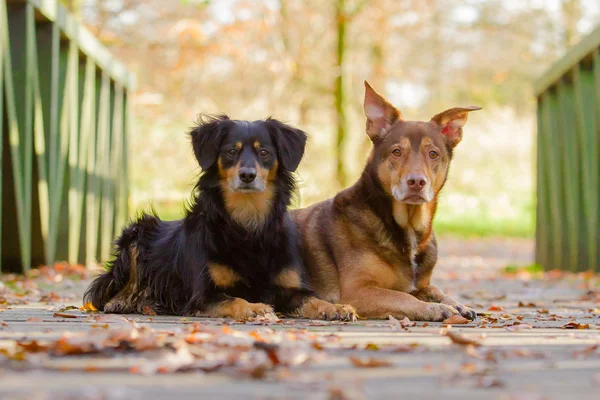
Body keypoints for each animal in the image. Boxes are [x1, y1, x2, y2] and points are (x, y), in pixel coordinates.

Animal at [85, 114, 356, 320]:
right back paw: (124, 301)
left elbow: (313, 299)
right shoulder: (204, 294)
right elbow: (234, 299)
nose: (247, 175)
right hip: (137, 233)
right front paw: (256, 307)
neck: (248, 223)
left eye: (264, 152)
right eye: (230, 151)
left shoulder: (289, 288)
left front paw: (336, 307)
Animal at [292, 81, 480, 322]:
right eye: (397, 152)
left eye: (433, 154)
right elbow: (404, 297)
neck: (408, 228)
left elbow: (435, 290)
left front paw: (457, 304)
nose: (416, 182)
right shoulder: (358, 291)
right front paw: (434, 308)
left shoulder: (420, 284)